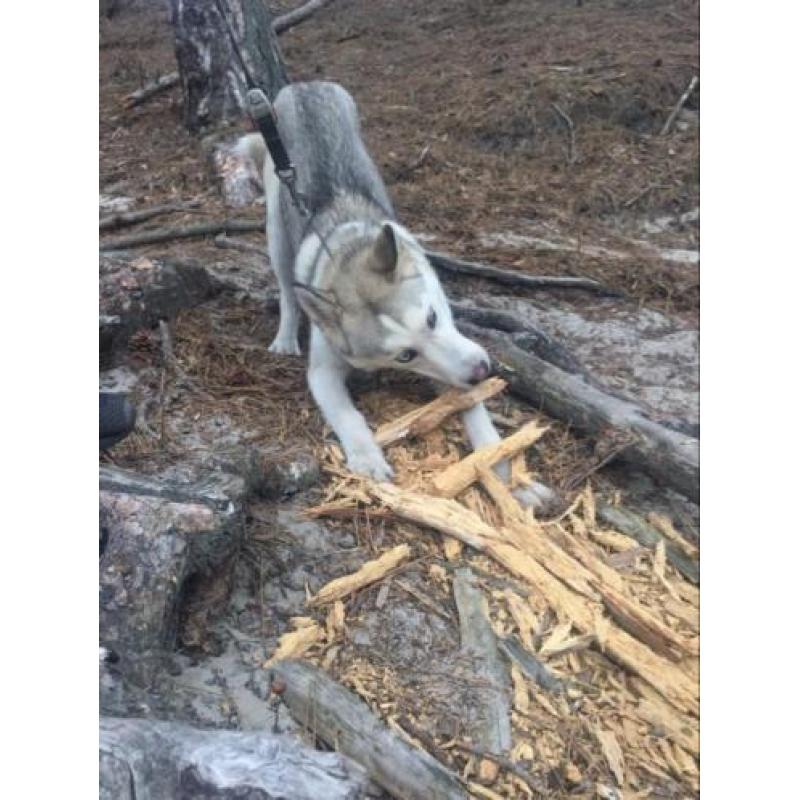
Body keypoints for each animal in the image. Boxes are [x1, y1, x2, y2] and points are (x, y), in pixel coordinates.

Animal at [234, 84, 552, 510]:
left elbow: (476, 414)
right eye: (405, 355)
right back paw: (285, 335)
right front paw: (367, 457)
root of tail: (302, 86)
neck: (345, 252)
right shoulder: (324, 371)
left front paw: (505, 473)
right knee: (288, 288)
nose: (481, 371)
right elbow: (348, 415)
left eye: (433, 317)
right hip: (275, 231)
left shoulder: (453, 362)